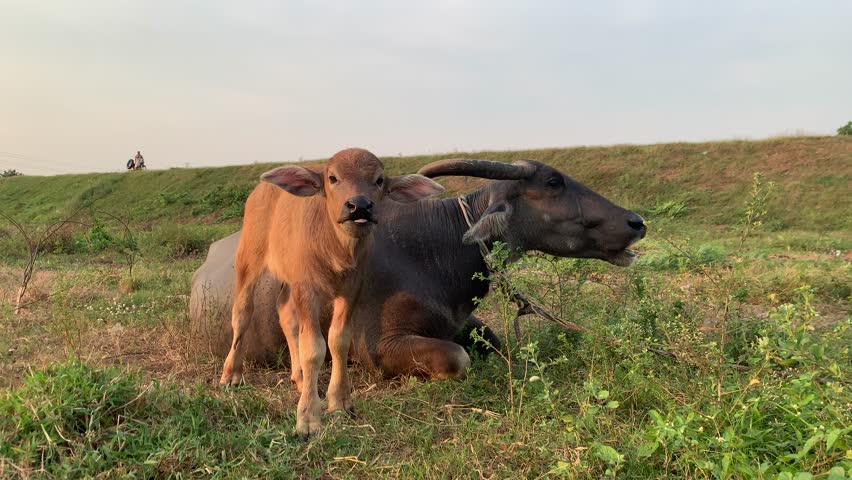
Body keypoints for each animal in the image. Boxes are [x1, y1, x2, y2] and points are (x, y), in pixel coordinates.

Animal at [190, 158, 645, 389]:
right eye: (553, 182)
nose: (636, 221)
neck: (436, 249)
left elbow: (496, 341)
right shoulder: (380, 346)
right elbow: (457, 357)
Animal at [218, 147, 443, 437]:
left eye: (379, 180)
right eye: (333, 178)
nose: (359, 206)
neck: (335, 250)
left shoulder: (351, 290)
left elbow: (339, 341)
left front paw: (339, 402)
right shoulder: (307, 290)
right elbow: (313, 347)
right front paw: (308, 418)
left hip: (289, 280)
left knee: (285, 313)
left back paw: (299, 377)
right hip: (249, 259)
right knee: (243, 312)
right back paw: (231, 374)